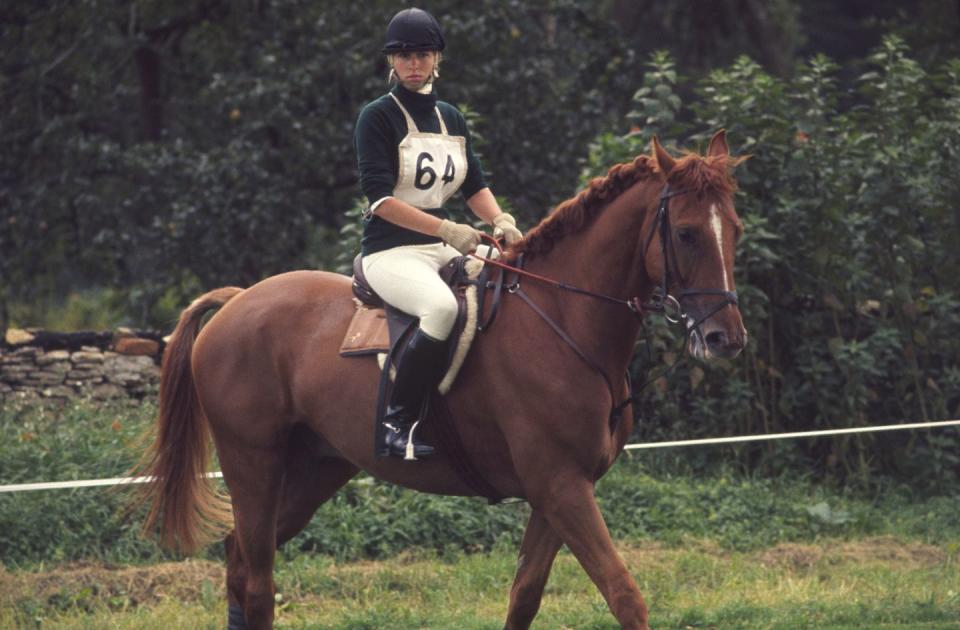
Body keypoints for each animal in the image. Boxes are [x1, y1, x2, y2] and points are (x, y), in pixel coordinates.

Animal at [133, 131, 752, 628]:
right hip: (253, 464)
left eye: (736, 229)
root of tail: (238, 300)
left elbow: (525, 596)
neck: (562, 319)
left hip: (316, 468)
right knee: (258, 580)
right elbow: (624, 594)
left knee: (239, 560)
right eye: (688, 233)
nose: (726, 337)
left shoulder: (559, 492)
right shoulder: (561, 486)